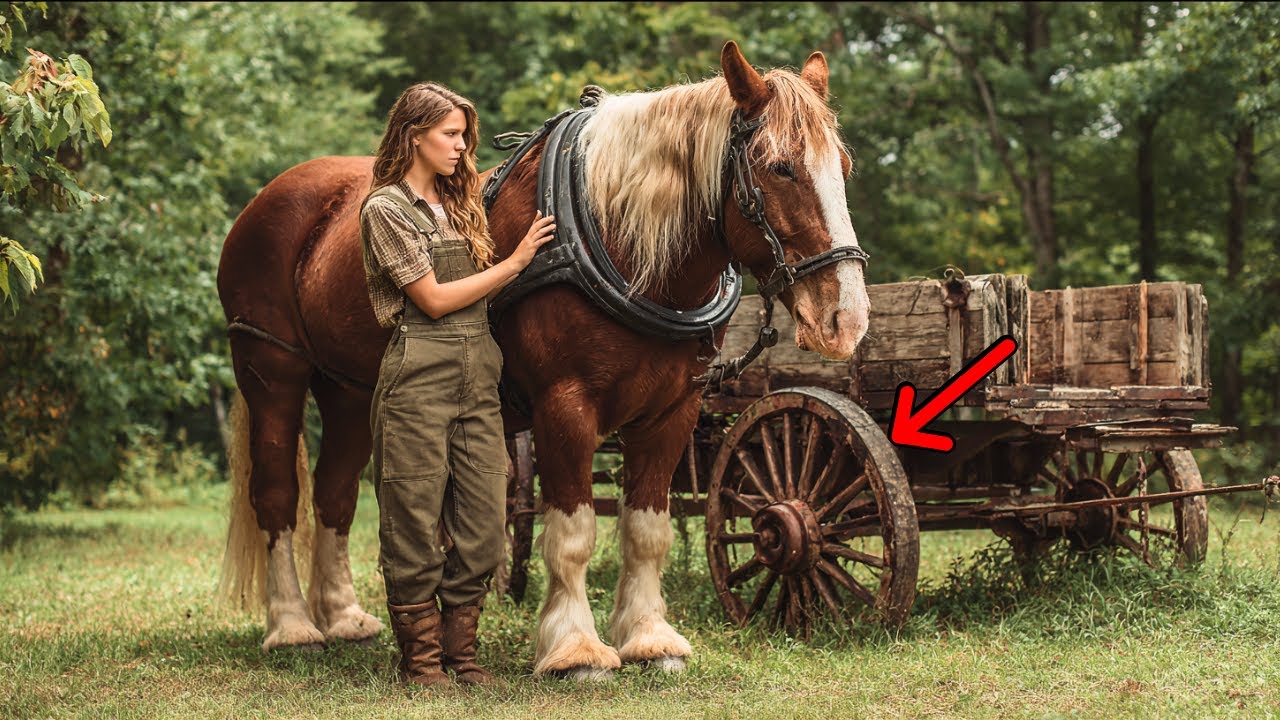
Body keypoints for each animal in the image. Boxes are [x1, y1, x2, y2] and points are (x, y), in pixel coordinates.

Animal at [216, 41, 870, 678]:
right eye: (779, 167)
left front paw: (650, 639)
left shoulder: (673, 412)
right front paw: (575, 649)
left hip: (349, 390)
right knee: (276, 494)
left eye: (841, 170)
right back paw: (294, 627)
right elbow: (573, 533)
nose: (846, 318)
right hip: (271, 367)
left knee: (335, 493)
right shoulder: (566, 405)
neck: (617, 241)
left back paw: (344, 618)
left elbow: (646, 530)